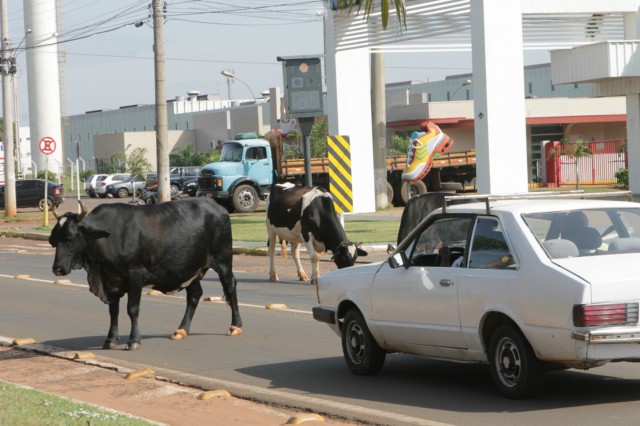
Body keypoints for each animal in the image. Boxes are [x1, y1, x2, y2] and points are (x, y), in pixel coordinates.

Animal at [50, 198, 242, 352]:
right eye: (55, 239)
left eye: (71, 237)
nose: (57, 268)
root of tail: (217, 207)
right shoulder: (111, 281)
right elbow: (113, 311)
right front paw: (110, 339)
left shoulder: (134, 275)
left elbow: (132, 309)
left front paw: (134, 340)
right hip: (189, 269)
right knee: (194, 295)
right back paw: (181, 330)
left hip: (223, 261)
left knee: (230, 287)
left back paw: (235, 326)